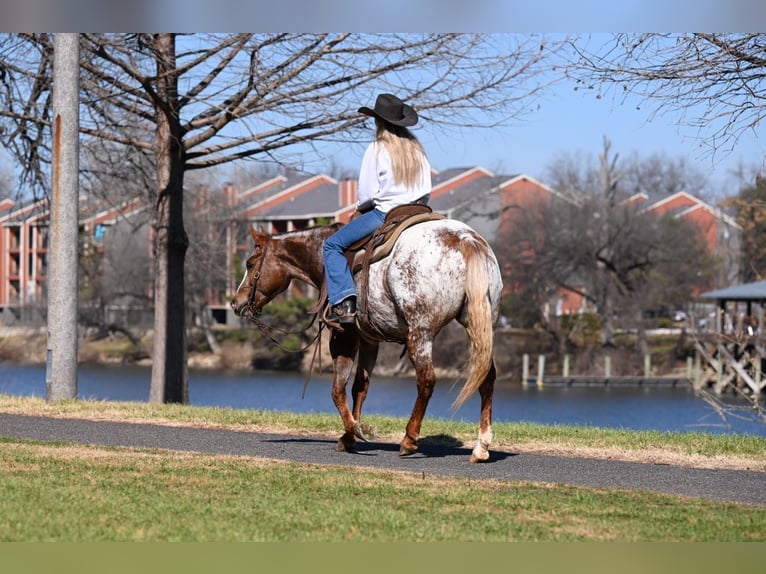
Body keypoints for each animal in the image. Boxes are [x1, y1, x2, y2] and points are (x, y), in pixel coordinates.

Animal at [231, 218, 508, 466]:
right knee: (487, 377)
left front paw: (356, 430)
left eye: (250, 263)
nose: (235, 302)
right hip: (479, 325)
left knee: (427, 380)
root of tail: (466, 239)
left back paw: (409, 439)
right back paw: (481, 447)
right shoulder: (369, 340)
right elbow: (359, 387)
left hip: (420, 333)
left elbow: (337, 390)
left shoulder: (343, 336)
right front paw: (349, 435)